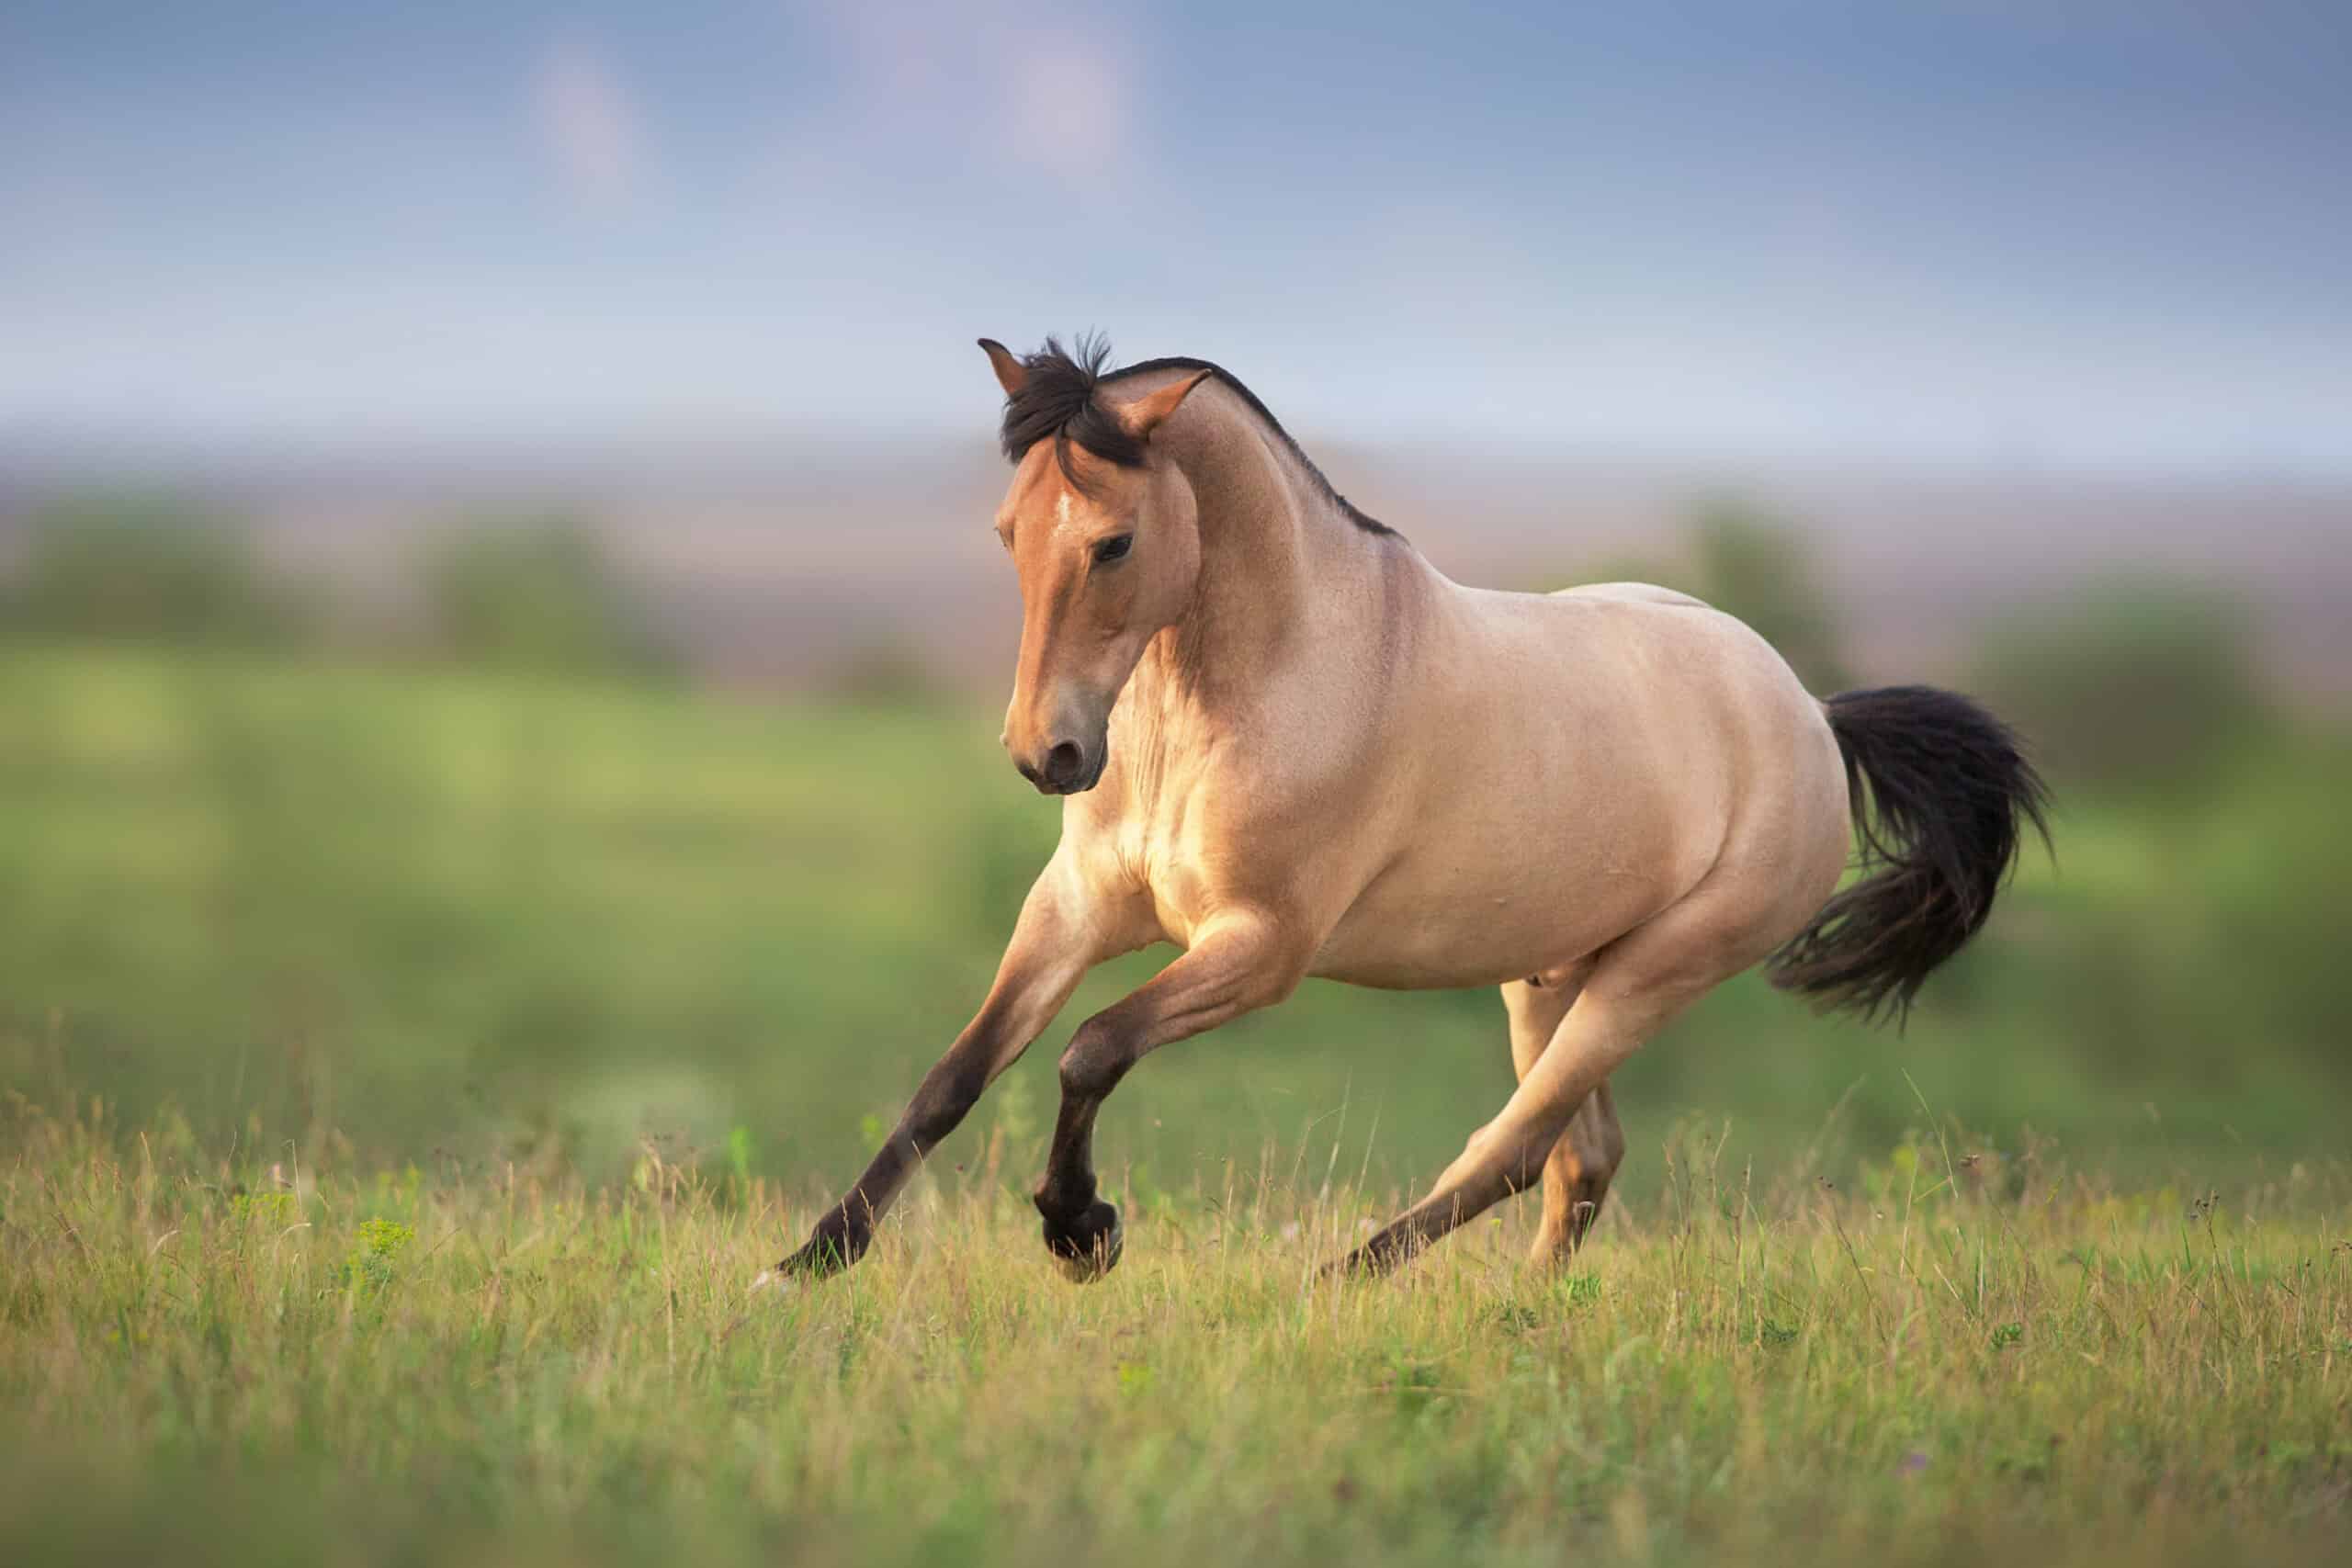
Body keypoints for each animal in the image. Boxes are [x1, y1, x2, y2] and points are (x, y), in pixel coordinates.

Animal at [766, 338, 2041, 1279]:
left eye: (1115, 541)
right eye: (1006, 534)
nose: (1049, 753)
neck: (1248, 692)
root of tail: (1812, 715)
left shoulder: (1258, 950)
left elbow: (1090, 1051)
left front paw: (1082, 1231)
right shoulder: (1073, 911)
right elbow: (953, 1080)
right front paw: (810, 1263)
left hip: (1654, 974)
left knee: (1513, 1148)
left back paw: (1334, 1280)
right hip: (1548, 971)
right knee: (1577, 1157)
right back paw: (1518, 1314)